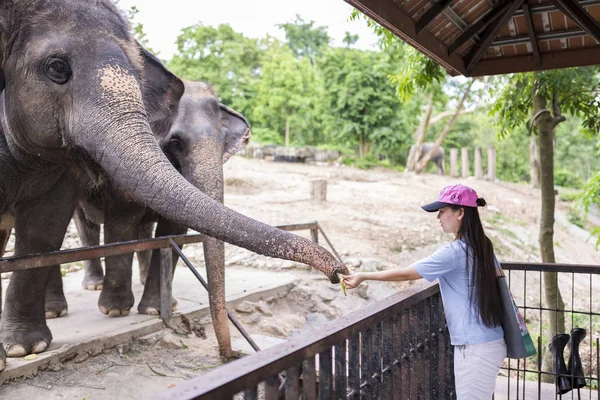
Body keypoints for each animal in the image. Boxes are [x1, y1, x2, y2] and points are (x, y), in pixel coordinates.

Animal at [67, 79, 250, 358]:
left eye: (223, 142)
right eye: (176, 142)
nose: (230, 354)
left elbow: (172, 230)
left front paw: (156, 309)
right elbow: (122, 223)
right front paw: (115, 310)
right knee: (84, 225)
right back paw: (91, 287)